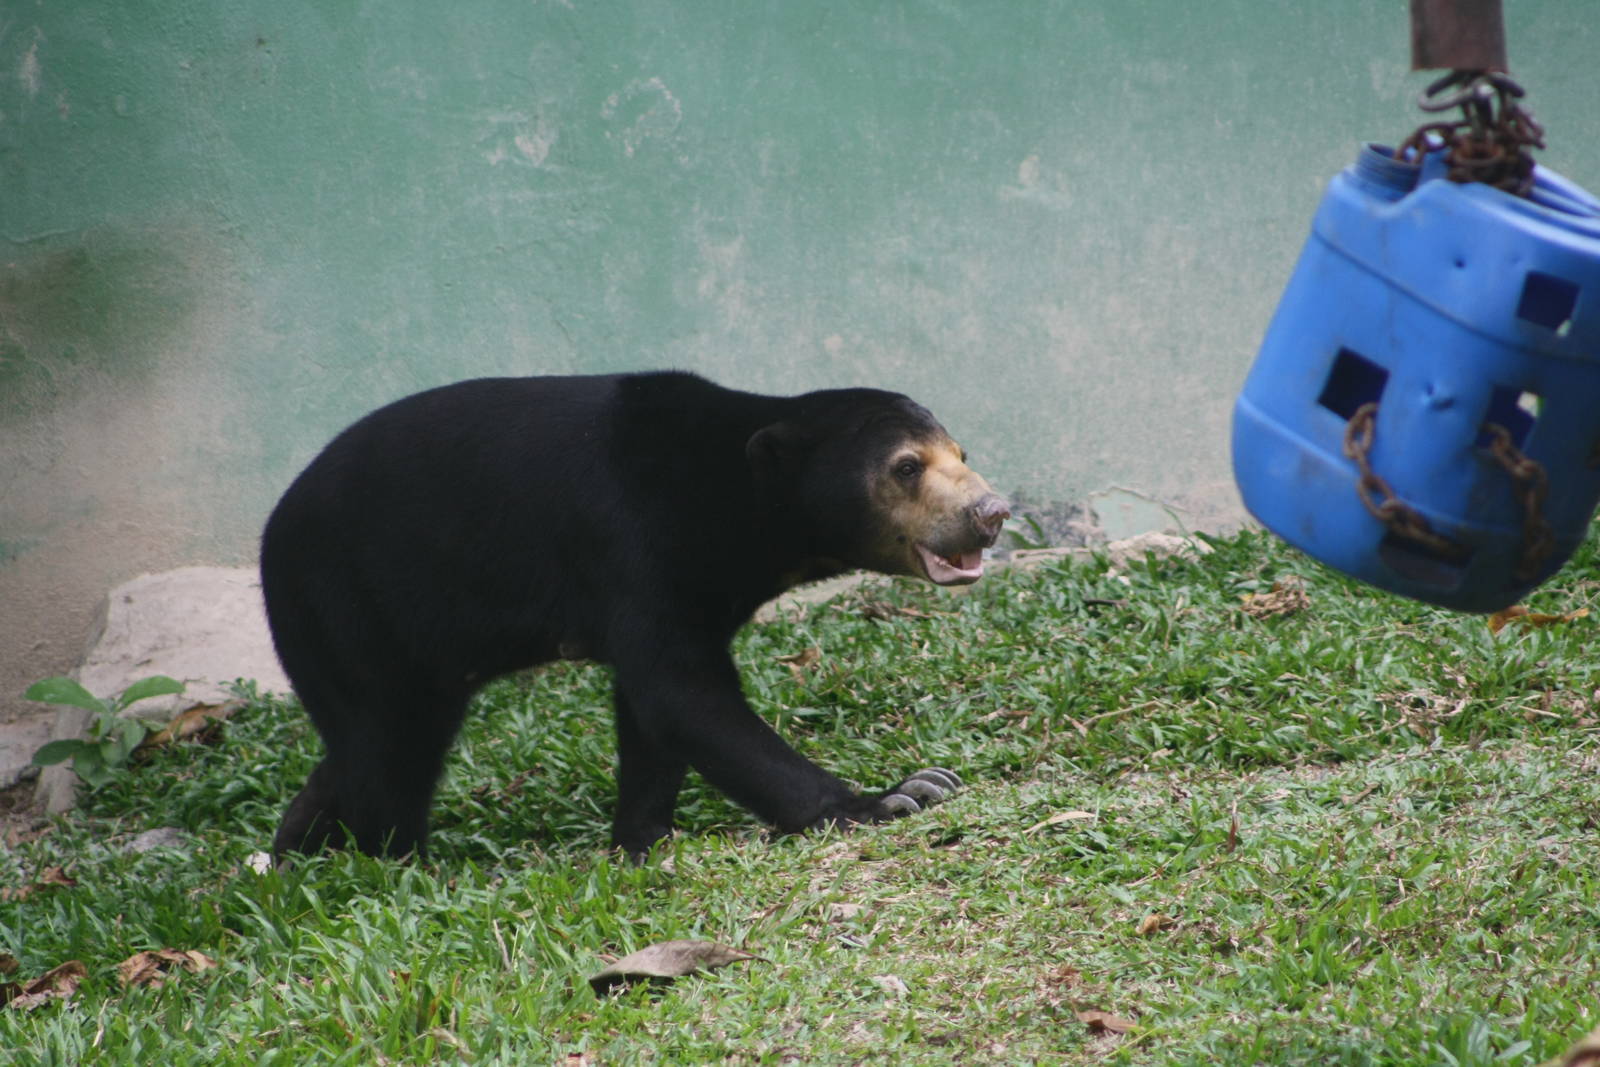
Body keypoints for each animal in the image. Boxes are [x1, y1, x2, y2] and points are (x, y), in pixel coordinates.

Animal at [263, 370, 1009, 861]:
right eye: (907, 467)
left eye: (962, 455)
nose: (992, 511)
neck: (732, 497)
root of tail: (273, 530)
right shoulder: (628, 539)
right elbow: (681, 694)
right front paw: (895, 796)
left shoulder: (695, 585)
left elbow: (653, 714)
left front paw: (644, 837)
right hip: (343, 607)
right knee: (388, 750)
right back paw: (401, 859)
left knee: (368, 744)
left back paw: (296, 844)